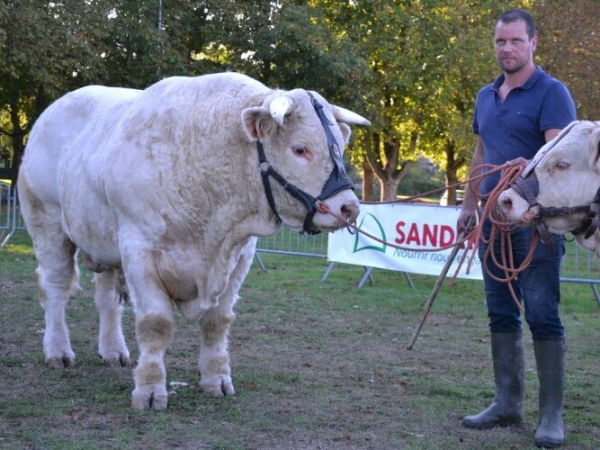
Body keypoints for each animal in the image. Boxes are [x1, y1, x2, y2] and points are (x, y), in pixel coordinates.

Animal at [17, 72, 366, 410]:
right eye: (300, 149)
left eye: (340, 147)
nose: (349, 207)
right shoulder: (140, 252)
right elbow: (155, 324)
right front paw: (150, 390)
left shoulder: (239, 257)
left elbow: (217, 322)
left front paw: (216, 380)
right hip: (47, 224)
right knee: (55, 288)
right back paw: (58, 351)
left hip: (105, 241)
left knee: (107, 298)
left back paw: (114, 351)